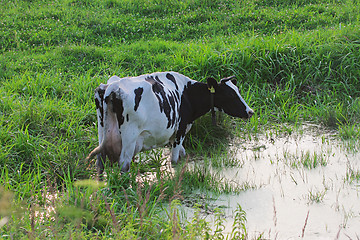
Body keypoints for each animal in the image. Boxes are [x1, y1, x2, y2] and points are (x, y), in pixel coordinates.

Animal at [85, 71, 253, 174]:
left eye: (238, 91)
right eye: (230, 95)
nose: (250, 111)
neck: (187, 94)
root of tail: (112, 87)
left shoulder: (175, 133)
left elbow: (183, 154)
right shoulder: (180, 129)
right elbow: (174, 159)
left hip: (102, 132)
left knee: (100, 162)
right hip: (129, 138)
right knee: (124, 165)